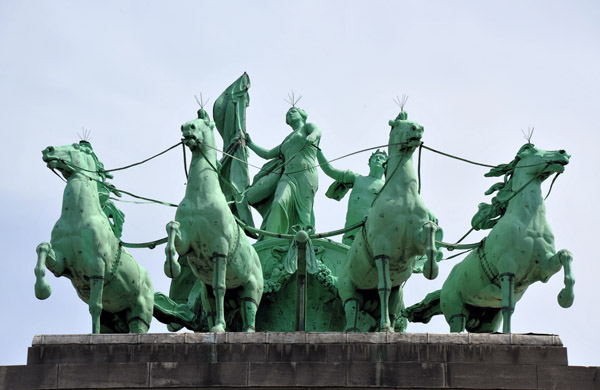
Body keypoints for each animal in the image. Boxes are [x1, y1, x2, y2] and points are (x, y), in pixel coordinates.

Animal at [33, 140, 155, 332]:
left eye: (77, 146)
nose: (48, 150)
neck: (77, 219)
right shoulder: (60, 263)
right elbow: (42, 248)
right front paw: (43, 289)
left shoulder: (97, 266)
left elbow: (95, 306)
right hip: (114, 319)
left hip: (140, 313)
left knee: (138, 327)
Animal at [164, 108, 262, 330]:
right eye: (190, 123)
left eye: (203, 123)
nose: (186, 127)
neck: (201, 197)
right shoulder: (187, 241)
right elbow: (172, 229)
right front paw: (171, 267)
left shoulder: (220, 248)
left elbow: (220, 287)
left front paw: (219, 327)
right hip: (204, 289)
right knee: (209, 304)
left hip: (251, 288)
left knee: (249, 311)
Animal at [338, 111, 440, 334]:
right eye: (396, 124)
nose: (418, 129)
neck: (402, 195)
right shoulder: (383, 251)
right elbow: (382, 287)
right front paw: (384, 327)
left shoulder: (414, 241)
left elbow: (430, 231)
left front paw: (431, 269)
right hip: (349, 289)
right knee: (352, 309)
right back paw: (356, 330)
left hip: (397, 290)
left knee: (393, 305)